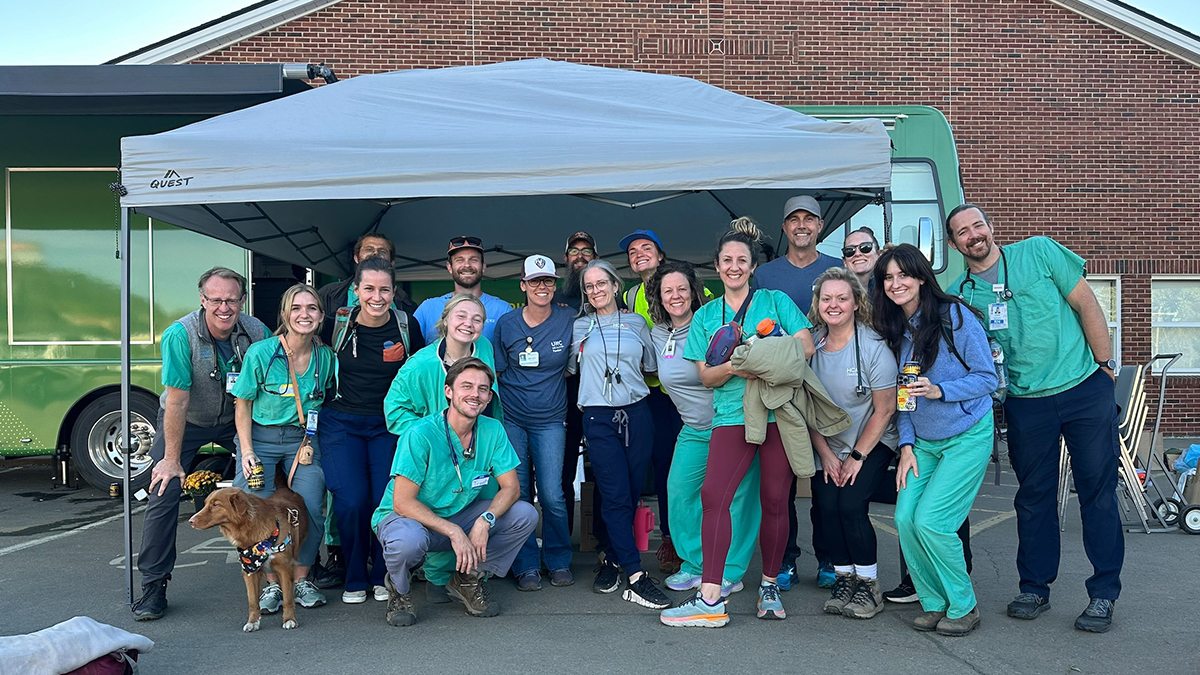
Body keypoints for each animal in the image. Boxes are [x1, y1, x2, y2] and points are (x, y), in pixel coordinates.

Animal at [187, 468, 307, 629]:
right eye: (205, 504)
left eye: (216, 505)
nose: (191, 521)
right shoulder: (249, 571)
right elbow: (252, 601)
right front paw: (253, 622)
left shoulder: (284, 567)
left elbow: (288, 597)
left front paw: (289, 619)